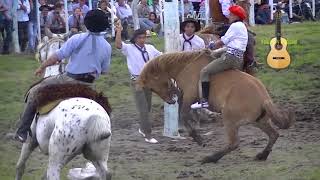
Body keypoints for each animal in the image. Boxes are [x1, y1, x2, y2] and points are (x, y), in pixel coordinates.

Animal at [138, 50, 296, 164]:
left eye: (152, 87)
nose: (170, 101)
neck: (186, 66)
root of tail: (264, 98)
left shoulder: (189, 96)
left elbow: (183, 116)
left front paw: (198, 139)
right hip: (259, 121)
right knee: (274, 135)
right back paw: (262, 155)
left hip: (230, 120)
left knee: (234, 143)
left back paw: (210, 158)